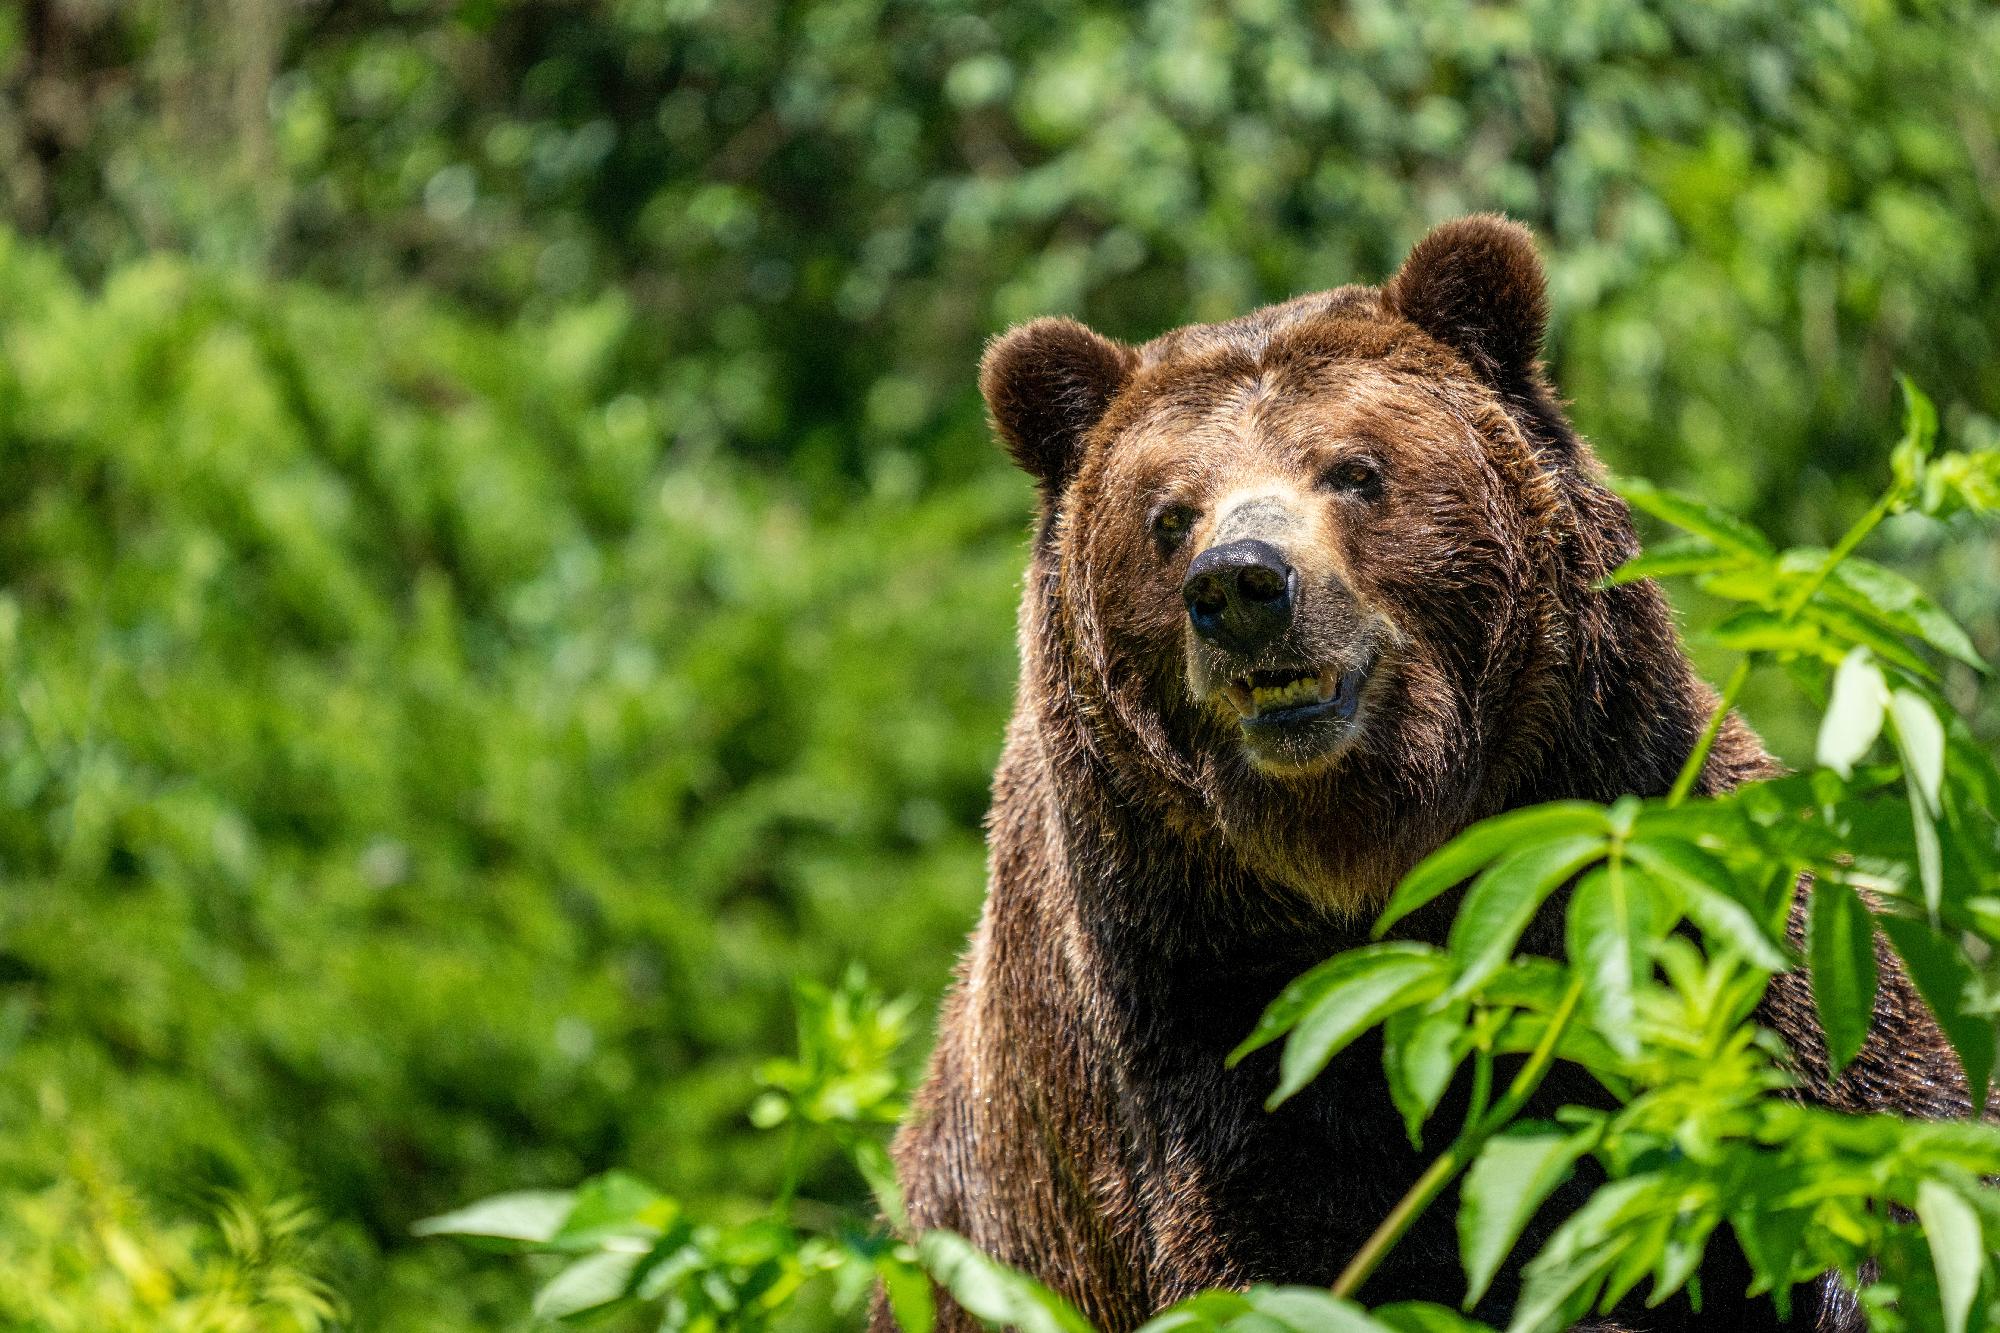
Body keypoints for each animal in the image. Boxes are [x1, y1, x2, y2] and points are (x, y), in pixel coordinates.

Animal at [884, 218, 1960, 1328]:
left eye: (1354, 470)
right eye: (1169, 515)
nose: (1241, 583)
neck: (1378, 858)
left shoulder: (1673, 856)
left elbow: (1871, 1129)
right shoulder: (1194, 1016)